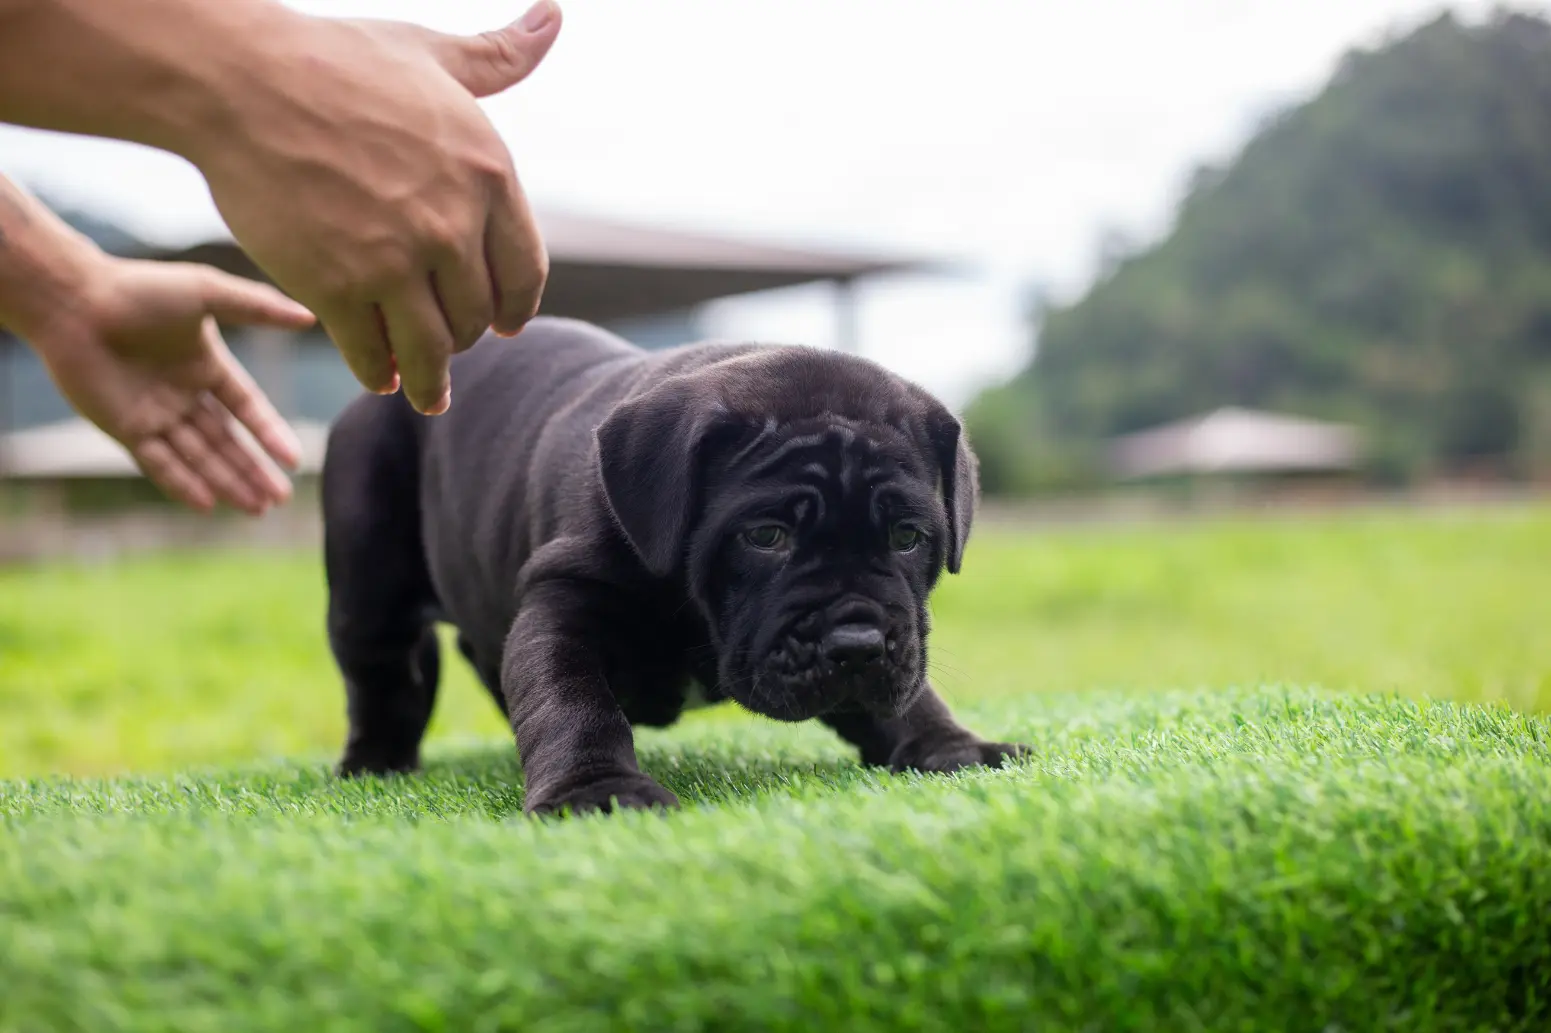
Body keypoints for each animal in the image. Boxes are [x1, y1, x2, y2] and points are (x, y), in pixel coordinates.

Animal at [321, 313, 1023, 812]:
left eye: (908, 537)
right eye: (766, 536)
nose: (857, 645)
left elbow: (913, 694)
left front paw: (954, 748)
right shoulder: (564, 605)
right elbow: (569, 700)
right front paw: (596, 791)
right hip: (368, 570)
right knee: (383, 670)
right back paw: (376, 764)